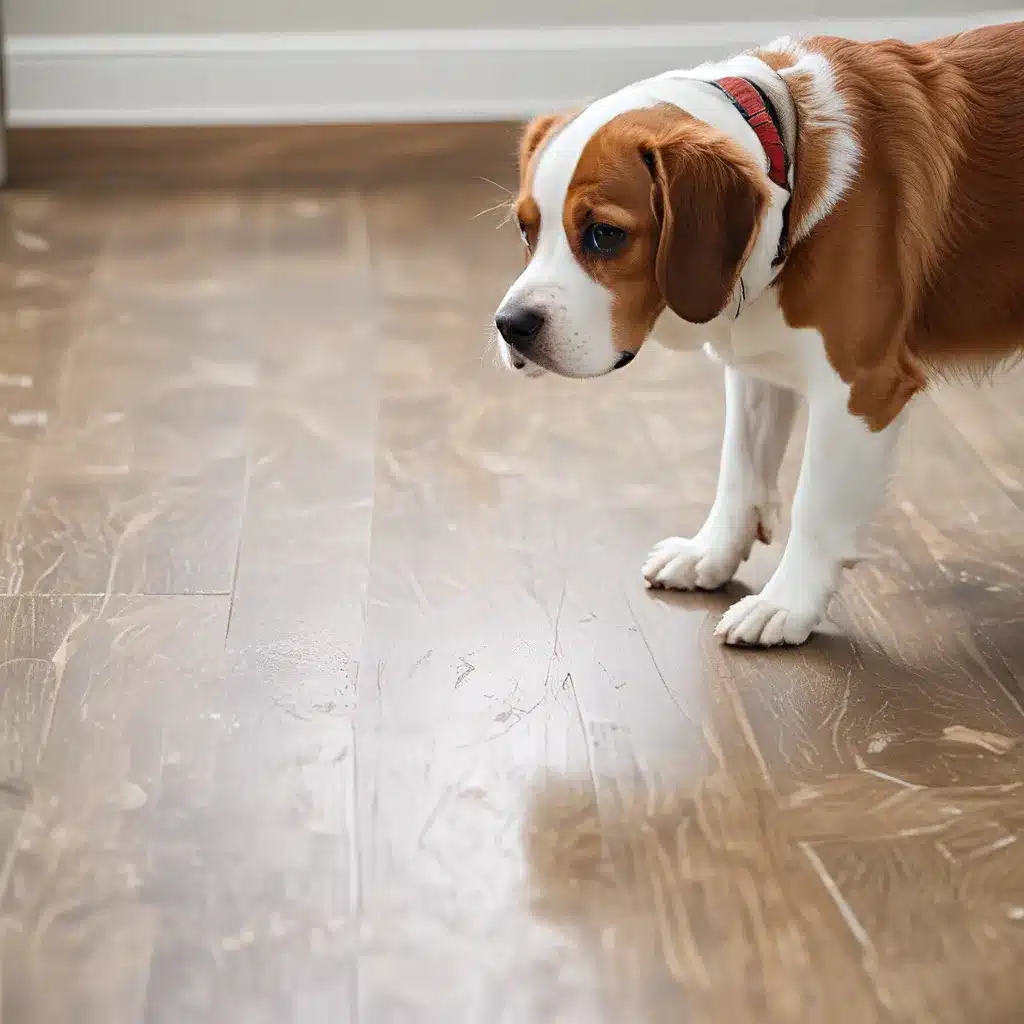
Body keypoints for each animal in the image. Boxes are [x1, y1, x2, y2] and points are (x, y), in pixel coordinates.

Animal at [491, 22, 1024, 647]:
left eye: (604, 235)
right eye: (526, 230)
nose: (510, 326)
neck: (790, 163)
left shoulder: (861, 388)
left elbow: (816, 507)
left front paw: (787, 603)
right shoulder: (754, 365)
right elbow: (740, 471)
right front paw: (711, 554)